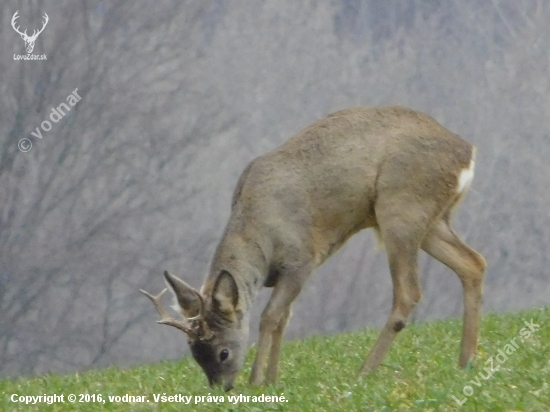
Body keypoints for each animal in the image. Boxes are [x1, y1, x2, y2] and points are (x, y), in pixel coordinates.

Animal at [141, 105, 488, 390]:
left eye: (223, 352)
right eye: (194, 353)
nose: (221, 388)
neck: (260, 232)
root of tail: (467, 152)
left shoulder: (301, 260)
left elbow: (270, 316)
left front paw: (257, 380)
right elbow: (285, 318)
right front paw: (272, 378)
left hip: (401, 208)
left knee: (409, 292)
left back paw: (365, 371)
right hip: (432, 220)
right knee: (473, 263)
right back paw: (466, 362)